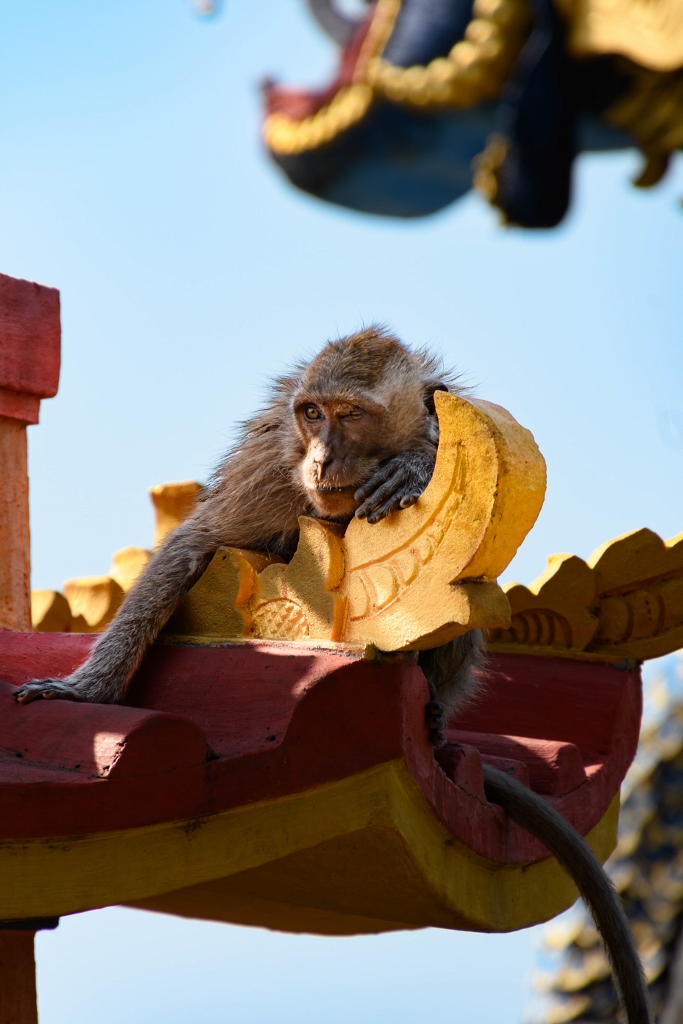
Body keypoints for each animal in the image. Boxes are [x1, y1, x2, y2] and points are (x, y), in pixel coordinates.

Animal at [12, 326, 652, 1021]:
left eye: (352, 415)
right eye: (313, 414)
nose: (321, 459)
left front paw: (414, 463)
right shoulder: (270, 475)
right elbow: (196, 544)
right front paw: (86, 689)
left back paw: (431, 714)